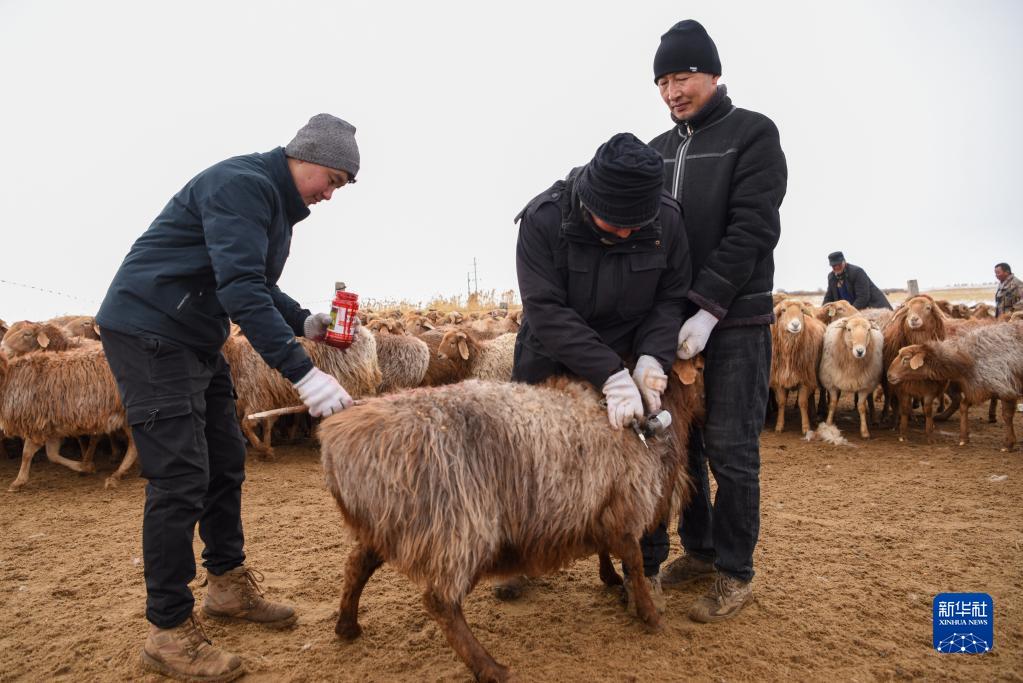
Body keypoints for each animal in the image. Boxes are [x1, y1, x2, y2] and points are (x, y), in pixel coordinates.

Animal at [769, 296, 826, 431]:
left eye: (801, 310)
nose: (795, 324)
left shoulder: (804, 379)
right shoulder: (779, 378)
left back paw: (814, 417)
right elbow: (782, 402)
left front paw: (805, 427)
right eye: (783, 310)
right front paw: (779, 425)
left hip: (813, 373)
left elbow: (802, 402)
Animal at [887, 323, 1023, 449]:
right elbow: (963, 406)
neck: (967, 358)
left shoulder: (1005, 389)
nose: (888, 375)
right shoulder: (977, 388)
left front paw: (1008, 444)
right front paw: (964, 438)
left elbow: (1007, 416)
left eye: (906, 359)